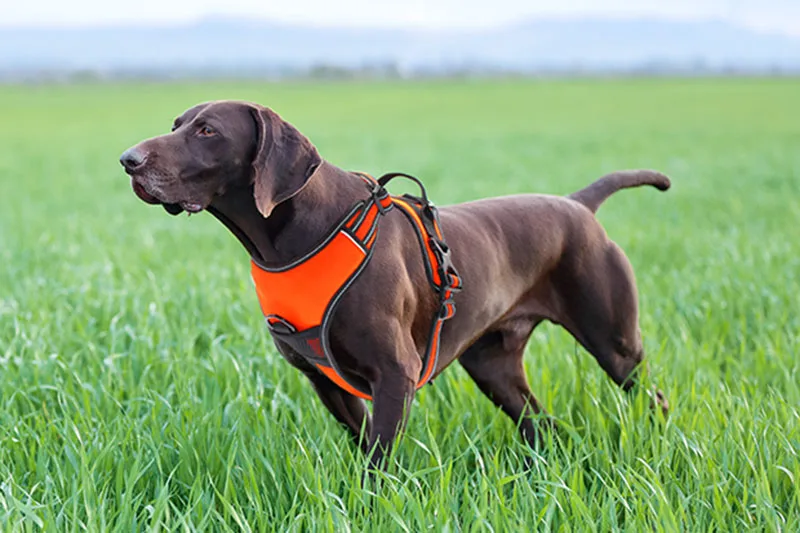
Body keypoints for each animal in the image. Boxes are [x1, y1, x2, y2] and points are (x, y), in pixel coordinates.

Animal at [119, 100, 668, 466]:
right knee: (543, 425)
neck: (299, 236)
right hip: (494, 367)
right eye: (175, 126)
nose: (128, 160)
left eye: (207, 130)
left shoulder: (393, 374)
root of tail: (579, 205)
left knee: (651, 397)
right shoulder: (327, 382)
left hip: (616, 345)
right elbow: (365, 450)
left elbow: (377, 466)